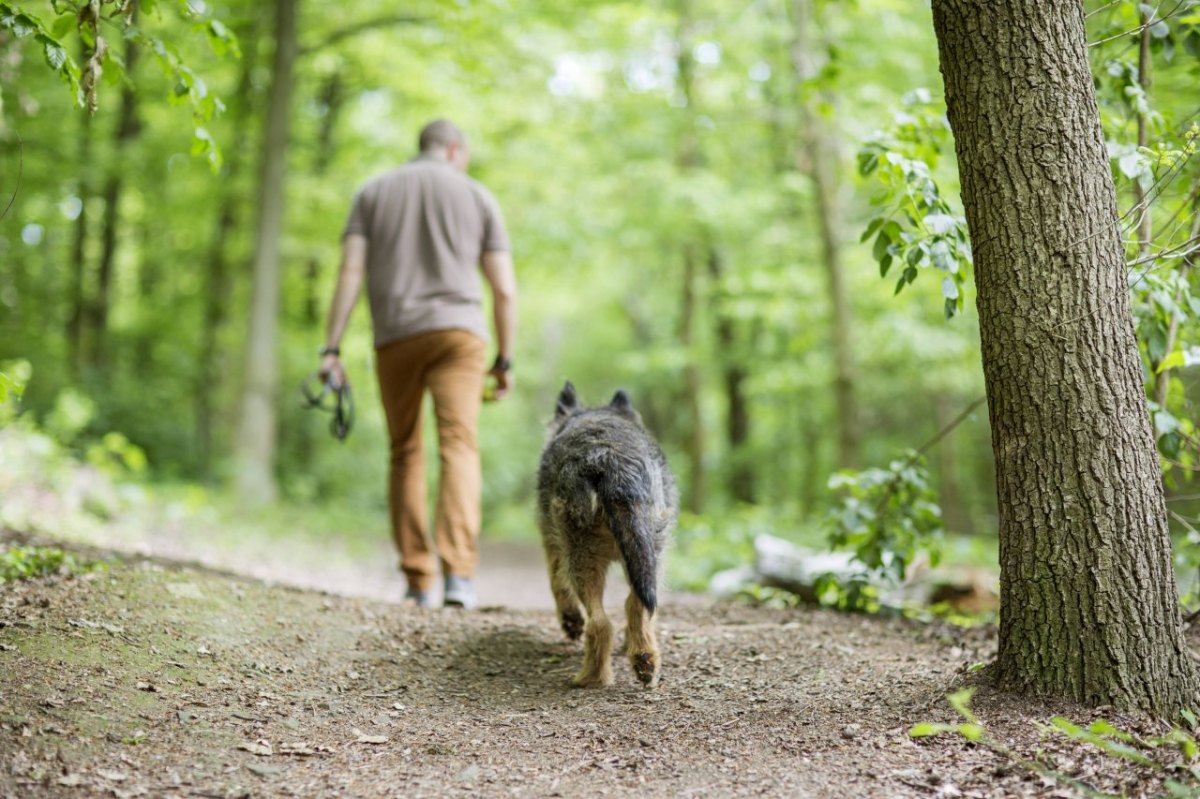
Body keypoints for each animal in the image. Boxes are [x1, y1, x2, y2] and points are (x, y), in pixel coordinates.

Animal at [540, 379, 681, 686]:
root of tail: (611, 460)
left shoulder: (552, 543)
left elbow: (556, 583)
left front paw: (570, 620)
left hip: (580, 555)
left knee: (599, 623)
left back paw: (590, 678)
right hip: (651, 552)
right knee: (635, 608)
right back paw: (644, 660)